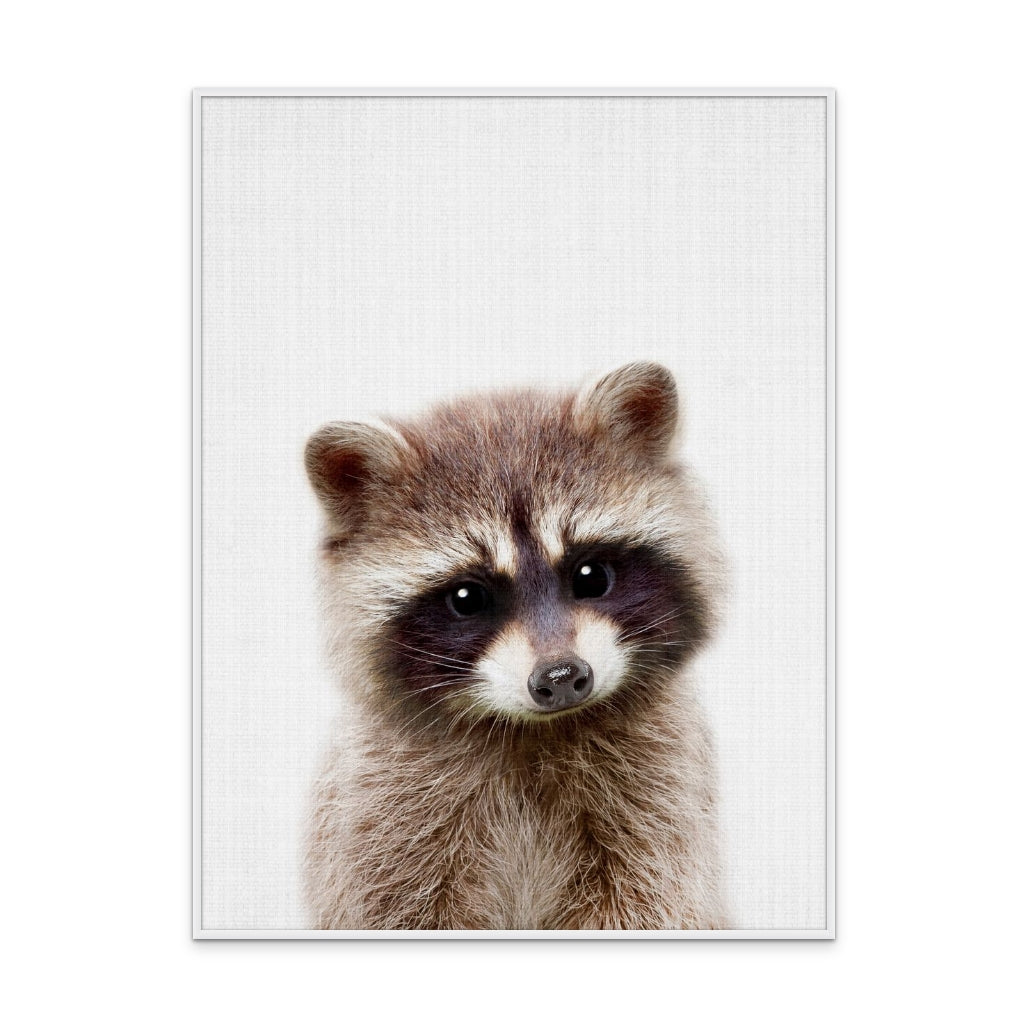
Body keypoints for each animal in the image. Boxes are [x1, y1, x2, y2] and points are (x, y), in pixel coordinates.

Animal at [304, 362, 728, 930]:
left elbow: (648, 900)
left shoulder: (661, 797)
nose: (561, 677)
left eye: (591, 576)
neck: (533, 732)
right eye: (467, 597)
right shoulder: (380, 812)